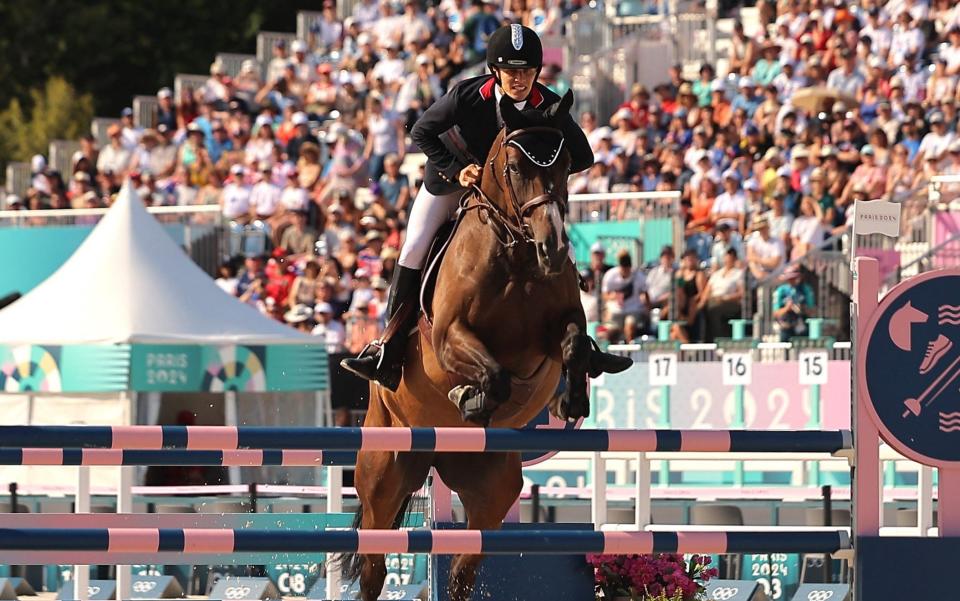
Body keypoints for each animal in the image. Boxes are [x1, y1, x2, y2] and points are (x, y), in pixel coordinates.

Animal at [346, 92, 608, 600]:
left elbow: (571, 345)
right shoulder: (451, 336)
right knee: (373, 565)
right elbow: (495, 373)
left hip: (492, 494)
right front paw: (472, 397)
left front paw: (570, 401)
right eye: (514, 165)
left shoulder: (555, 331)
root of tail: (435, 460)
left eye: (566, 163)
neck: (517, 254)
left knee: (463, 572)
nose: (553, 248)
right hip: (383, 472)